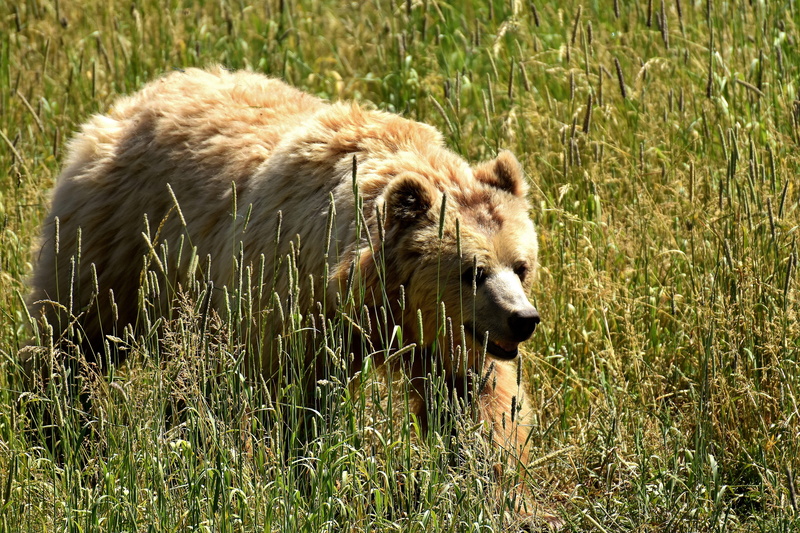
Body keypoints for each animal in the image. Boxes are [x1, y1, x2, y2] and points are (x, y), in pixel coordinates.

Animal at [25, 67, 556, 527]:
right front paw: (304, 483)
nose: (523, 319)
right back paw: (57, 431)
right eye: (473, 271)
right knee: (74, 338)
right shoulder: (292, 303)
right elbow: (295, 401)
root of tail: (138, 97)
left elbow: (480, 408)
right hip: (116, 242)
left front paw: (504, 497)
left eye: (521, 265)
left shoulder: (450, 342)